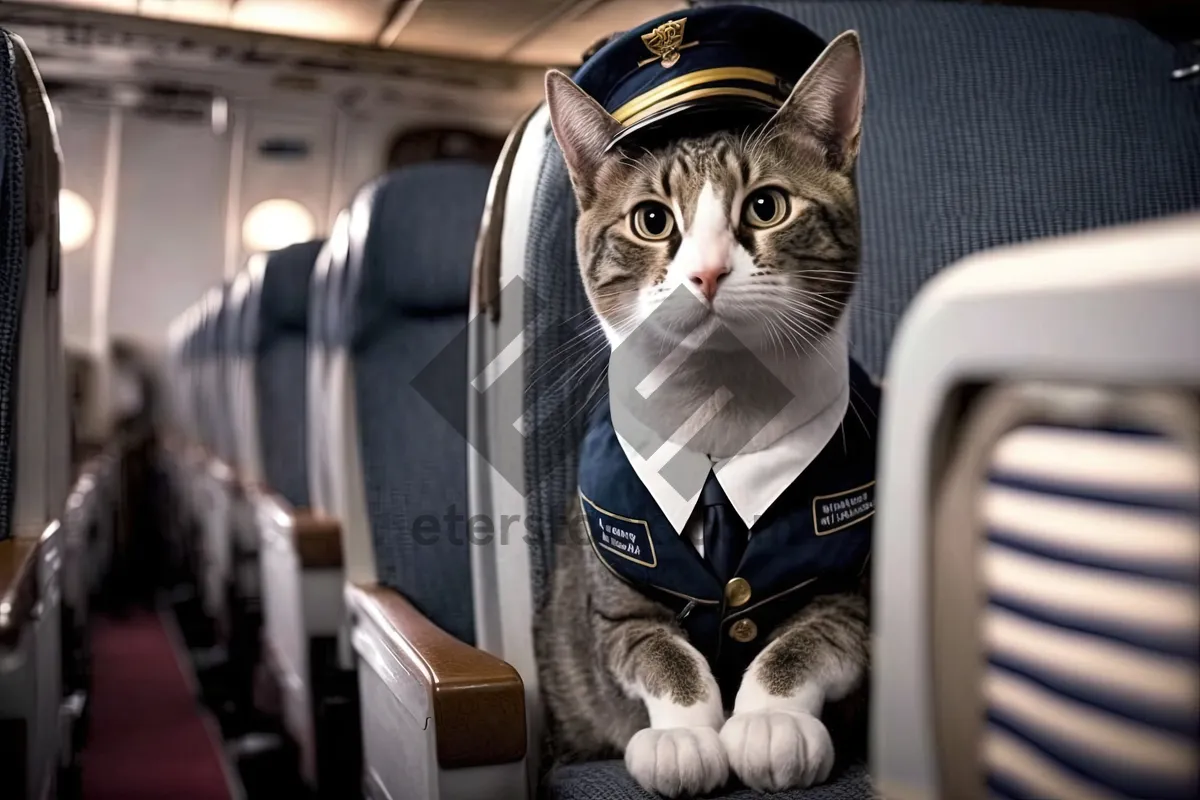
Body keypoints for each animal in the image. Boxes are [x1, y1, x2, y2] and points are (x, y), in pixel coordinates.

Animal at [540, 29, 868, 796]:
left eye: (766, 206)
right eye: (652, 220)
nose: (708, 271)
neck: (721, 415)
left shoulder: (854, 583)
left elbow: (813, 637)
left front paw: (770, 721)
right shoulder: (612, 588)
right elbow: (653, 648)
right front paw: (684, 735)